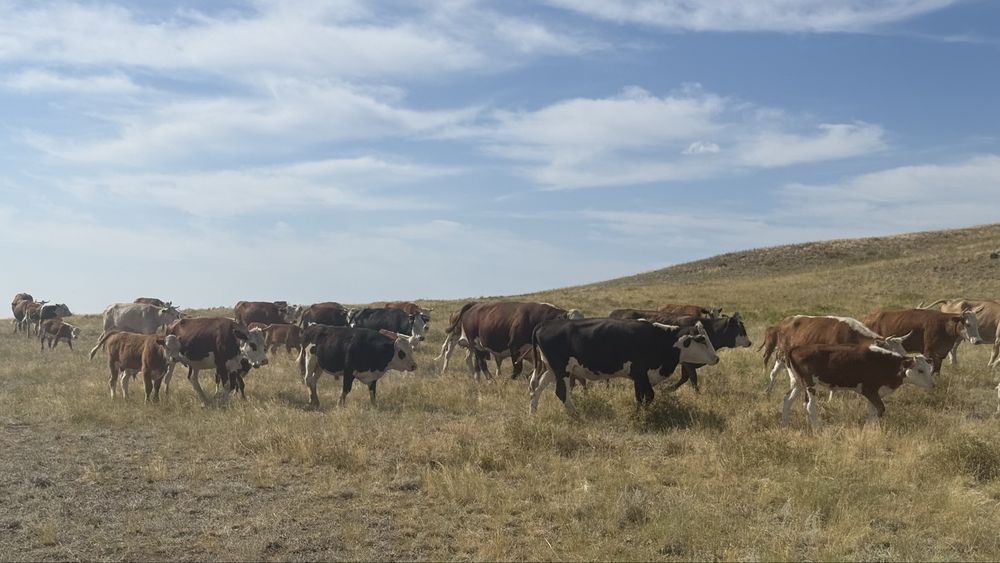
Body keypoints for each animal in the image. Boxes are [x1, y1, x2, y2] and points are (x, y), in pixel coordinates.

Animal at [438, 301, 583, 380]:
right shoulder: (515, 347)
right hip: (473, 343)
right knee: (478, 362)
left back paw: (478, 379)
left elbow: (538, 369)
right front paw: (509, 381)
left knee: (476, 363)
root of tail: (474, 304)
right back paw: (490, 380)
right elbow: (517, 369)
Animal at [528, 318, 719, 414]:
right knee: (561, 393)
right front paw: (641, 416)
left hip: (552, 370)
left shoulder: (638, 377)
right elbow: (649, 395)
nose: (716, 358)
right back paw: (576, 414)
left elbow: (640, 396)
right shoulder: (640, 372)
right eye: (701, 339)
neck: (660, 340)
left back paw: (533, 414)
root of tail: (544, 325)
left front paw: (638, 413)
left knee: (536, 388)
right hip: (562, 370)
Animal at [760, 315, 911, 396]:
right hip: (783, 355)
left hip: (782, 357)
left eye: (903, 352)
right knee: (780, 374)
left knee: (776, 372)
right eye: (892, 353)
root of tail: (784, 322)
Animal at [782, 343, 934, 428]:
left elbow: (873, 410)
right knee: (809, 406)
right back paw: (819, 428)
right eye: (920, 370)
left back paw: (785, 424)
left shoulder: (875, 393)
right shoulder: (869, 389)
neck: (886, 364)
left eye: (928, 368)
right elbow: (880, 409)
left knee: (787, 400)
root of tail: (796, 348)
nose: (933, 384)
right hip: (810, 384)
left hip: (798, 383)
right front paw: (869, 427)